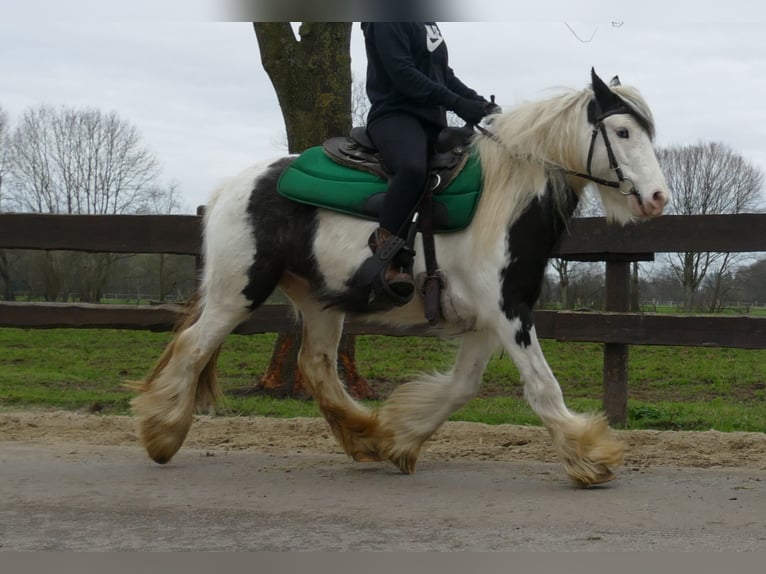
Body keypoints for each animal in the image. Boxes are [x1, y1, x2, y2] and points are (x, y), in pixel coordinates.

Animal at [132, 70, 672, 488]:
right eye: (622, 131)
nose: (657, 198)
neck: (504, 196)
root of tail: (232, 187)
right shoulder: (508, 311)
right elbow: (542, 386)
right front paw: (589, 457)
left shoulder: (488, 317)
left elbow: (461, 387)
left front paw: (398, 440)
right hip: (237, 292)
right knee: (194, 348)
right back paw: (162, 434)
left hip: (319, 301)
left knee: (317, 366)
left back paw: (365, 436)